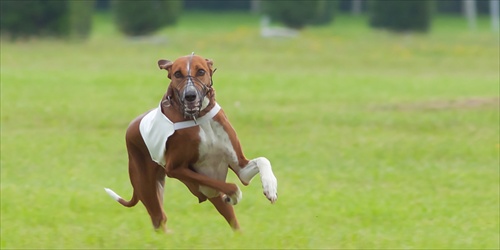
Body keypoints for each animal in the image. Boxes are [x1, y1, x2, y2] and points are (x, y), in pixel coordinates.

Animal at [104, 53, 278, 231]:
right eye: (177, 74)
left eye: (201, 71)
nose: (190, 95)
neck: (199, 117)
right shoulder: (176, 169)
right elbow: (232, 186)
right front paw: (234, 195)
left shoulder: (241, 168)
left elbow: (263, 160)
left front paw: (270, 186)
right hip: (147, 186)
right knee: (159, 219)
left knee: (233, 222)